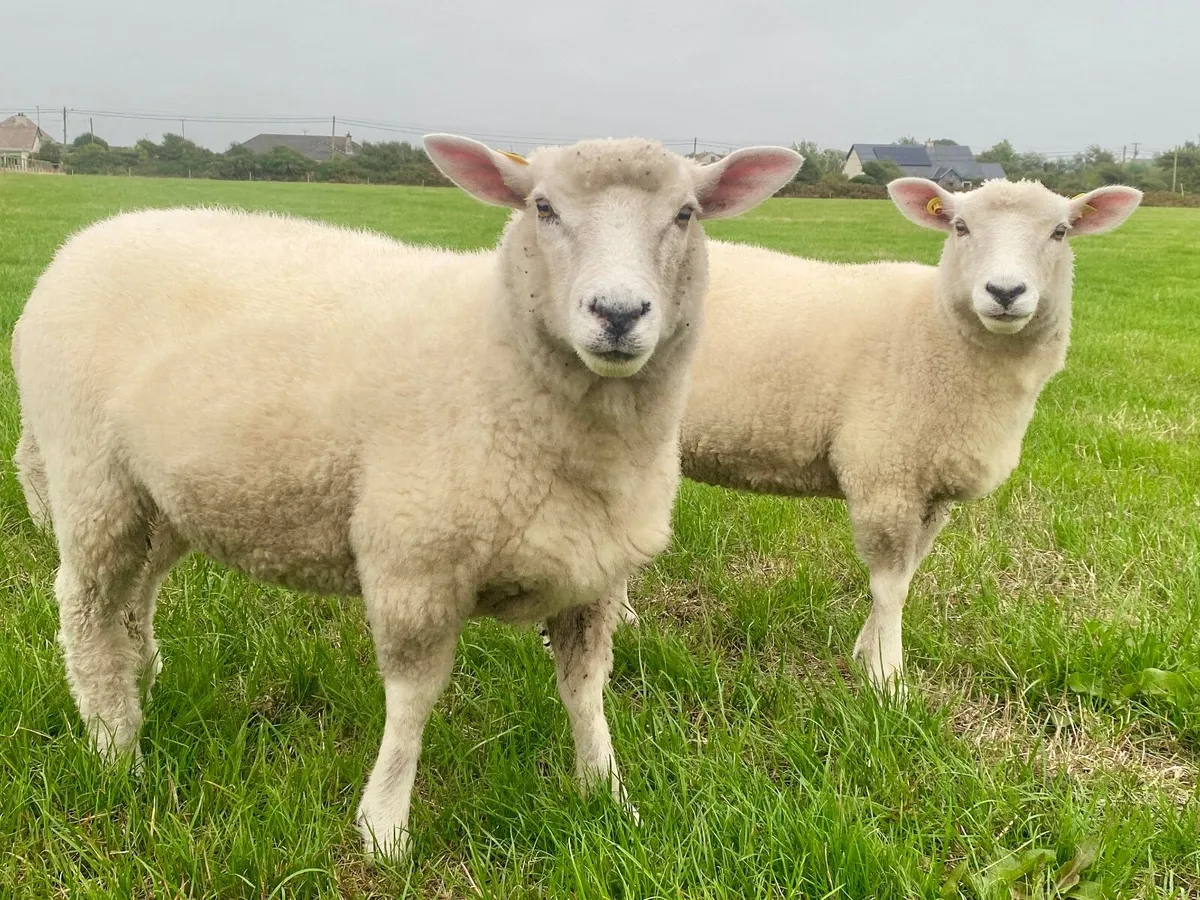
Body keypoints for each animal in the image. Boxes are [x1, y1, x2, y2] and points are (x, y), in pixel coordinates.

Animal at [11, 132, 800, 859]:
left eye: (686, 213)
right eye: (543, 207)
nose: (617, 312)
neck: (499, 355)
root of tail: (84, 242)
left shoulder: (596, 572)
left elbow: (585, 689)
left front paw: (608, 795)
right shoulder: (414, 561)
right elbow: (413, 703)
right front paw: (384, 828)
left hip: (158, 498)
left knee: (134, 592)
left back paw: (142, 675)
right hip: (90, 476)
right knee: (86, 607)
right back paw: (115, 745)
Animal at [601, 178, 1140, 690]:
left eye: (1060, 232)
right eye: (960, 227)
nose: (1005, 292)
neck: (934, 331)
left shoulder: (930, 487)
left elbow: (909, 573)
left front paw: (869, 651)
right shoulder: (886, 474)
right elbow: (890, 585)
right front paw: (887, 678)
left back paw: (622, 616)